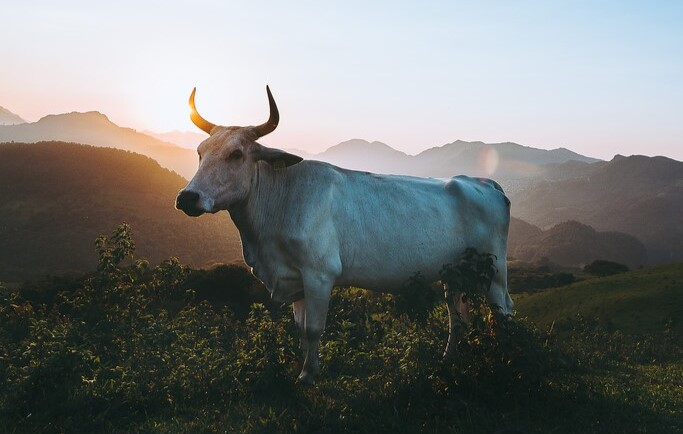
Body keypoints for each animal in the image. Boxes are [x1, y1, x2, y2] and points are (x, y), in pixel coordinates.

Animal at [176, 85, 512, 384]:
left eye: (236, 154)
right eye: (200, 152)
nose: (187, 197)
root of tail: (482, 182)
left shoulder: (320, 274)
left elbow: (313, 329)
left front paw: (308, 376)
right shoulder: (295, 279)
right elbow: (300, 329)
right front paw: (304, 368)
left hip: (494, 271)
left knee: (503, 312)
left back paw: (505, 360)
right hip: (454, 273)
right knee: (458, 318)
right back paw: (448, 361)